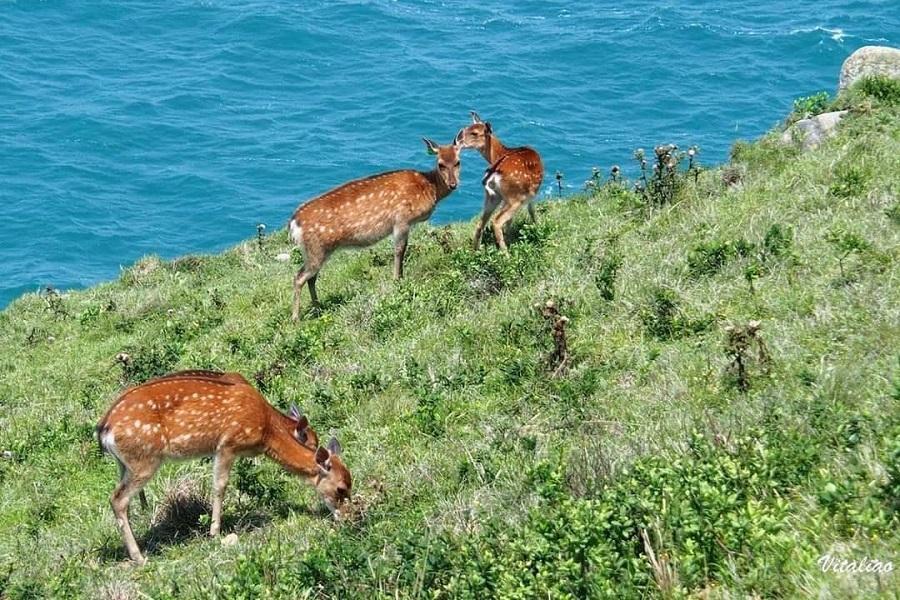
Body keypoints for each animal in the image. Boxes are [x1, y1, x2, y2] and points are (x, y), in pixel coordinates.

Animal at [96, 371, 350, 565]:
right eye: (341, 488)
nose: (347, 517)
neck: (266, 432)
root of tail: (103, 428)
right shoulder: (228, 443)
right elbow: (220, 485)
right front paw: (215, 533)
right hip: (145, 459)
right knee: (117, 499)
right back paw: (139, 557)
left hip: (126, 464)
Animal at [288, 135, 463, 320]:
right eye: (440, 164)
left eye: (458, 162)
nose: (453, 184)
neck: (429, 187)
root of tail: (293, 224)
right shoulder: (401, 219)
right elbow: (399, 250)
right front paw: (397, 280)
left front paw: (400, 277)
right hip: (316, 248)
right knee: (298, 277)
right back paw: (296, 318)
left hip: (316, 251)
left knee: (311, 278)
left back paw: (317, 308)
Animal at [456, 112, 544, 251]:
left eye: (474, 132)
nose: (457, 139)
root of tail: (493, 174)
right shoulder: (531, 194)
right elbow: (532, 210)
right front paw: (538, 227)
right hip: (515, 198)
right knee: (497, 221)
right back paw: (506, 253)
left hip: (493, 196)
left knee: (480, 223)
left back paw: (476, 251)